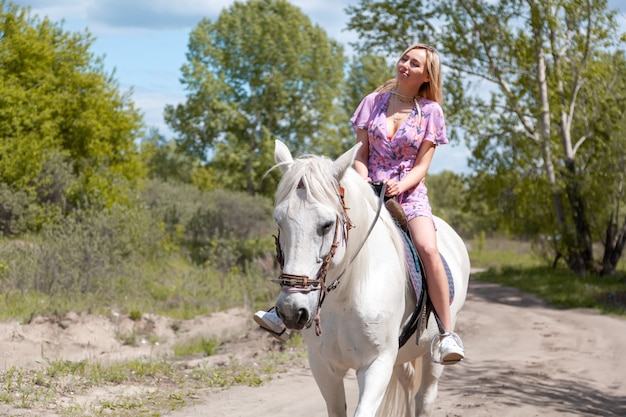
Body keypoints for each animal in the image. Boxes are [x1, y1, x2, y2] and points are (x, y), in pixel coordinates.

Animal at [270, 141, 468, 416]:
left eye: (327, 224)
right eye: (279, 221)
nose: (291, 311)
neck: (346, 293)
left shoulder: (376, 365)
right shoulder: (323, 366)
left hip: (432, 355)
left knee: (425, 398)